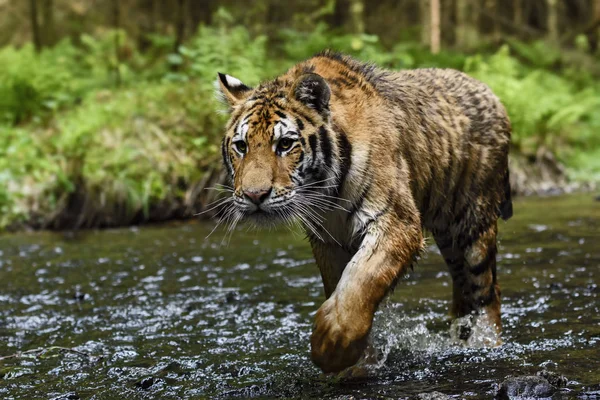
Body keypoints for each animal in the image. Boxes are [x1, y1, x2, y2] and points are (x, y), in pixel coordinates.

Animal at [214, 50, 510, 376]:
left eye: (285, 144)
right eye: (241, 146)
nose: (255, 195)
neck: (325, 193)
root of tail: (490, 91)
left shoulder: (397, 223)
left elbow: (360, 283)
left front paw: (329, 347)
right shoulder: (328, 239)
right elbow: (342, 286)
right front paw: (358, 363)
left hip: (473, 225)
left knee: (487, 291)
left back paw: (484, 345)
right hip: (450, 237)